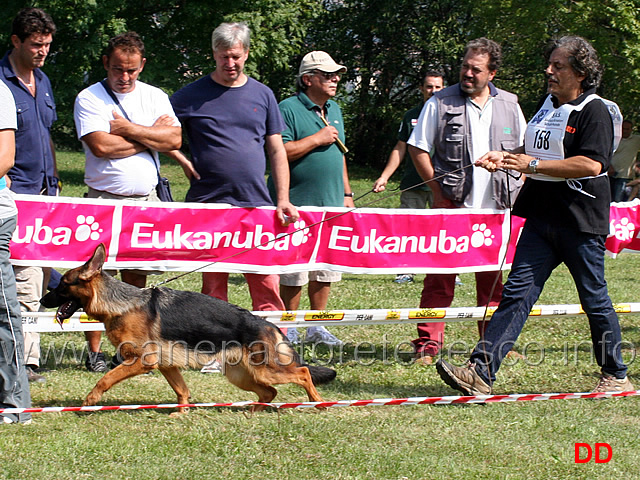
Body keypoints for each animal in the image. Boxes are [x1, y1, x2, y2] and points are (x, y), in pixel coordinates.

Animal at [40, 246, 338, 414]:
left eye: (62, 285)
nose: (42, 300)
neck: (121, 304)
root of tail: (270, 323)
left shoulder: (142, 362)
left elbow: (105, 379)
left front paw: (90, 400)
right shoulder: (166, 365)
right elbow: (181, 390)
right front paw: (181, 412)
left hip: (266, 370)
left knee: (302, 373)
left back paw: (317, 402)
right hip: (241, 375)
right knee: (269, 393)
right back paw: (253, 409)